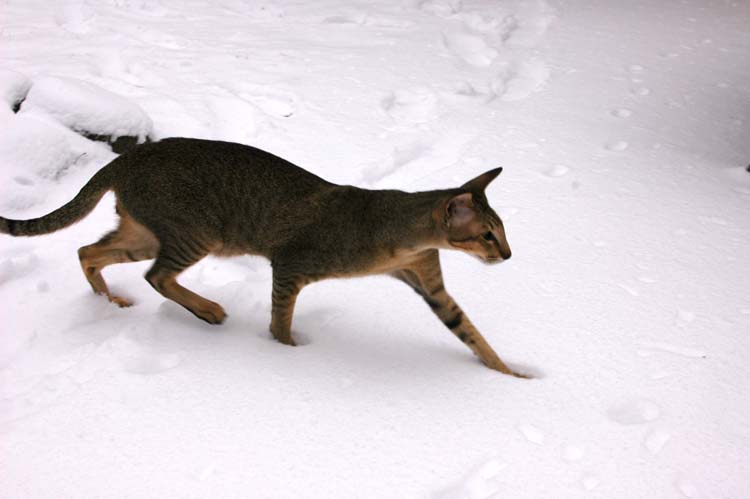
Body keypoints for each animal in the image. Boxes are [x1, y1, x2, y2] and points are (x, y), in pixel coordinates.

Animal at [0, 138, 524, 377]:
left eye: (502, 231)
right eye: (486, 235)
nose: (509, 254)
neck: (403, 234)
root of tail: (130, 156)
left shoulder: (431, 286)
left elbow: (472, 334)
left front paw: (510, 376)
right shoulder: (290, 265)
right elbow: (281, 320)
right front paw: (286, 355)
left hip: (146, 233)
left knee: (88, 250)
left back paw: (108, 302)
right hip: (196, 234)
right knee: (156, 276)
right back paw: (209, 311)